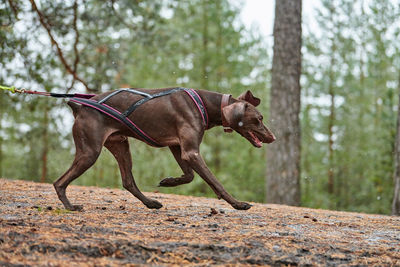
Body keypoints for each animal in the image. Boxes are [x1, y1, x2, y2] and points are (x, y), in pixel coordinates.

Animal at [54, 89, 276, 211]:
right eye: (259, 118)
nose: (273, 138)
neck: (205, 104)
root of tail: (78, 106)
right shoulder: (191, 152)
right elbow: (215, 182)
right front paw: (237, 204)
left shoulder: (177, 147)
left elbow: (189, 176)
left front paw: (169, 182)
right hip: (90, 151)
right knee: (59, 182)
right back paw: (70, 207)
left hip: (120, 145)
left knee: (128, 181)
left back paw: (151, 203)